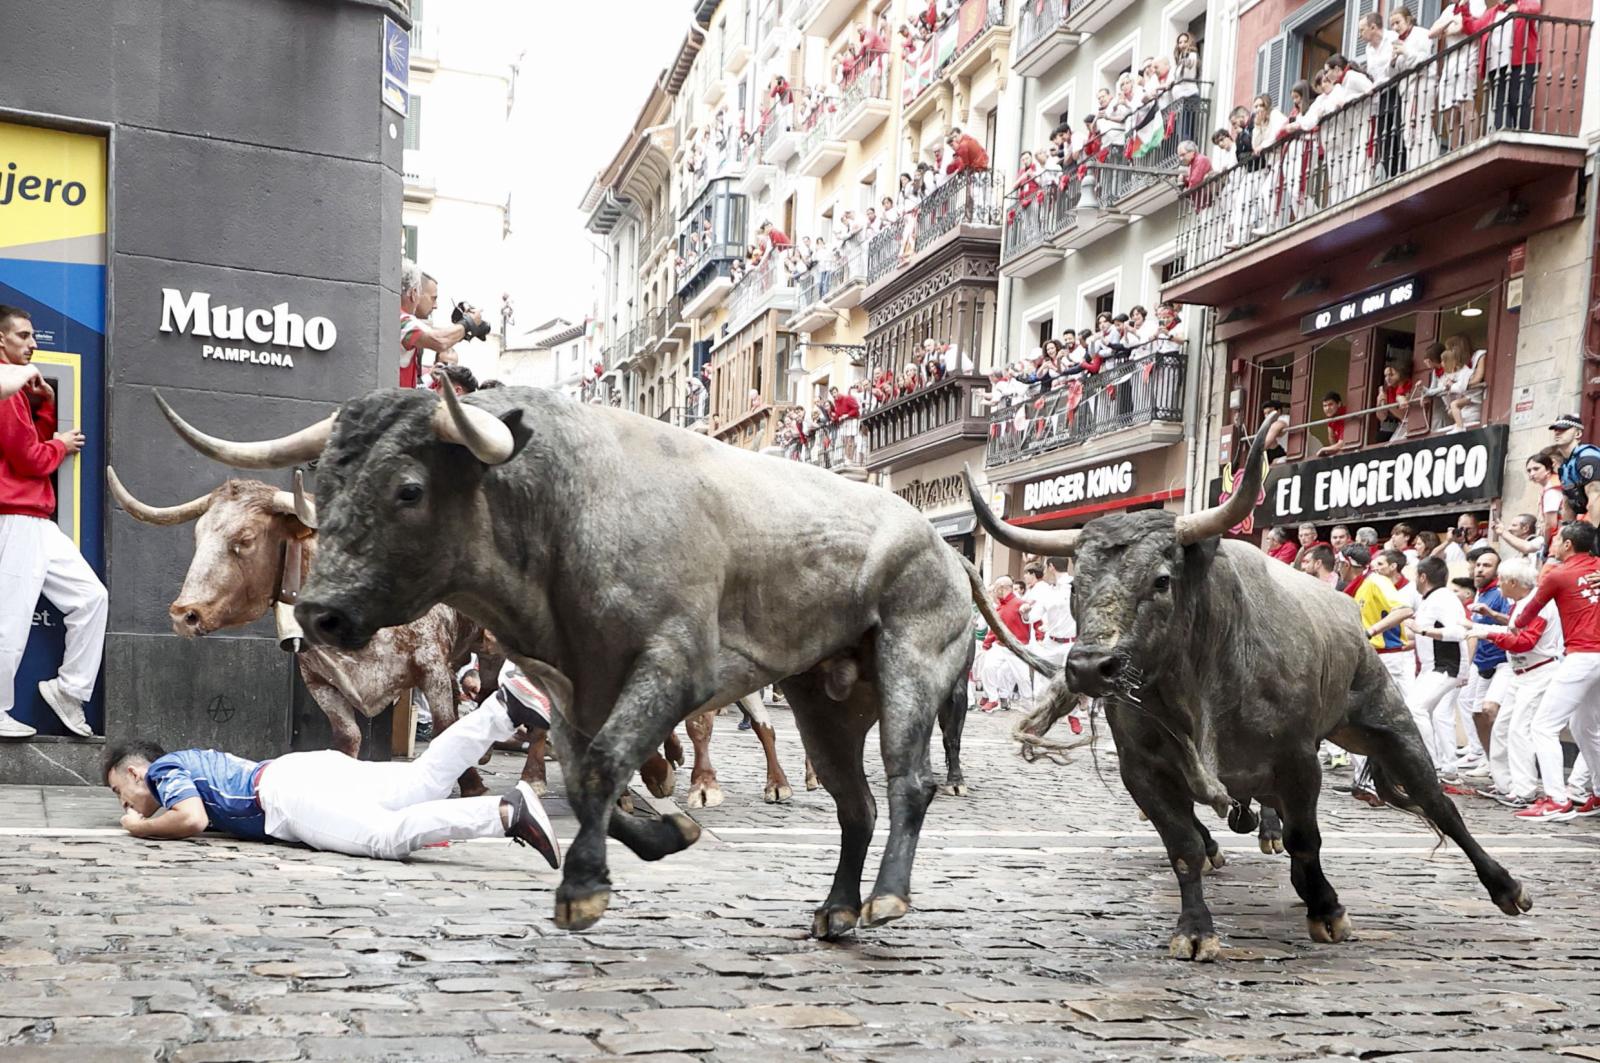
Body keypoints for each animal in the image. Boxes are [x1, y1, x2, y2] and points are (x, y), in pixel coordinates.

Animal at [159, 385, 1036, 934]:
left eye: (408, 488)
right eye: (329, 483)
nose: (320, 611)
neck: (564, 508)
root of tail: (940, 544)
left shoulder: (674, 667)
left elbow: (604, 766)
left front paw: (584, 888)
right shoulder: (570, 688)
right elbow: (588, 777)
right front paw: (666, 831)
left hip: (911, 669)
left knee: (909, 780)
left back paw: (886, 897)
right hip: (823, 698)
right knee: (855, 803)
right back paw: (838, 909)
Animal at [966, 425, 1529, 960]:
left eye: (1162, 580)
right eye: (1076, 586)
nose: (1087, 667)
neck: (1198, 686)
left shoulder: (1298, 759)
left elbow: (1308, 839)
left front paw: (1326, 909)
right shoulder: (1142, 771)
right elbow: (1183, 846)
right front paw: (1196, 930)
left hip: (1386, 721)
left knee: (1438, 803)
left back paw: (1506, 887)